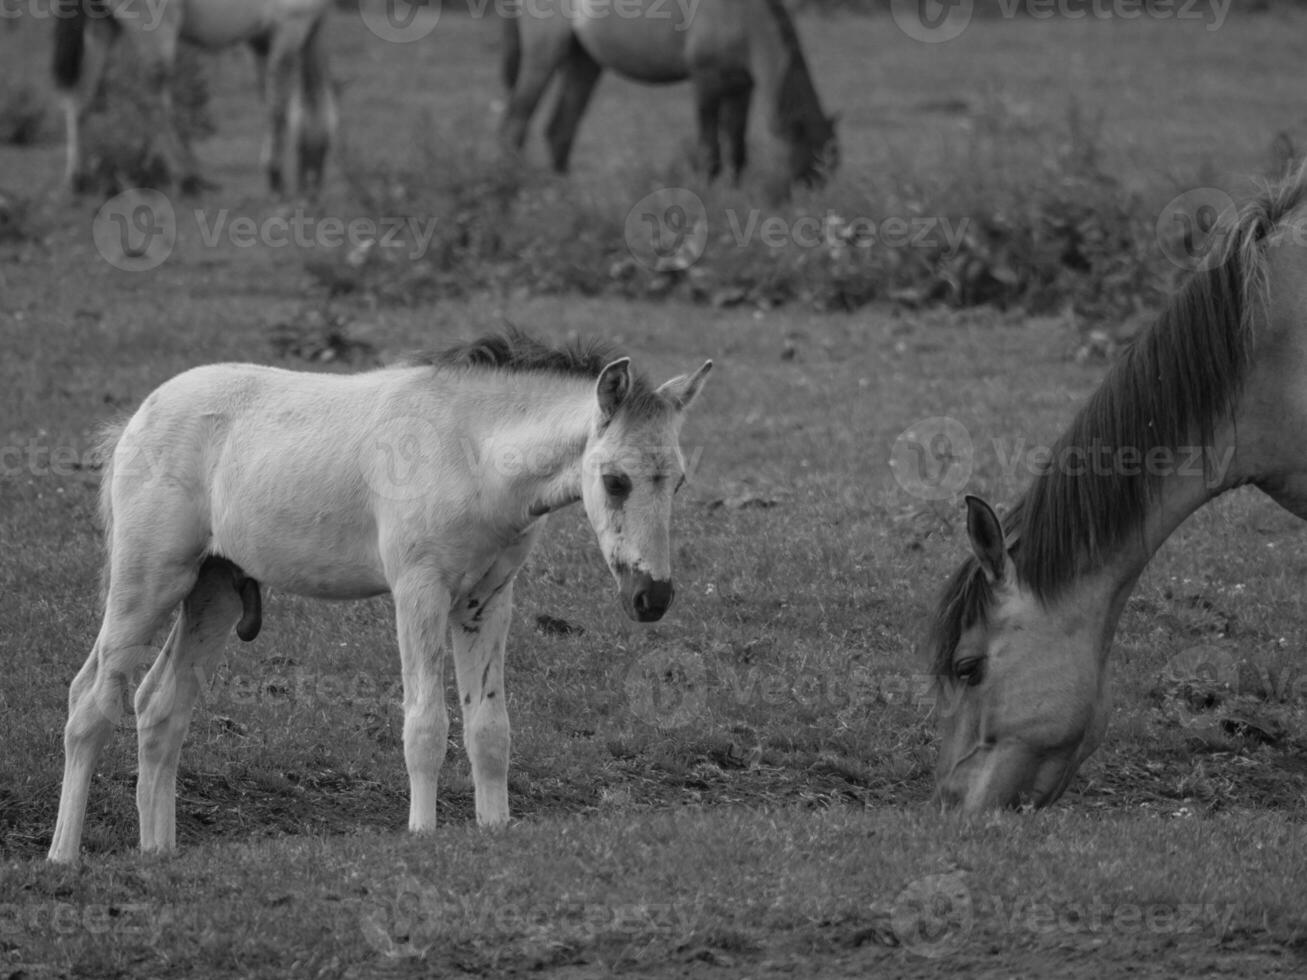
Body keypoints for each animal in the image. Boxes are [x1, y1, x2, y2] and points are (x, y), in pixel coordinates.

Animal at [46, 334, 711, 862]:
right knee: (89, 700)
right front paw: (423, 835)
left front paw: (494, 830)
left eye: (678, 481)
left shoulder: (488, 601)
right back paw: (63, 857)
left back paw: (157, 853)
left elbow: (489, 728)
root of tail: (138, 417)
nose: (653, 597)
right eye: (615, 481)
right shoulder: (419, 591)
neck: (473, 452)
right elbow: (425, 725)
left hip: (214, 594)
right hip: (148, 583)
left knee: (160, 706)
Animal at [50, 0, 337, 194]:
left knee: (81, 97)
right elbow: (279, 106)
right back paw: (188, 179)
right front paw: (277, 176)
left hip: (102, 27)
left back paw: (78, 181)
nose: (314, 177)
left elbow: (308, 98)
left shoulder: (298, 31)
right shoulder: (291, 25)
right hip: (154, 29)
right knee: (153, 102)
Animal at [499, 0, 836, 190]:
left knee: (560, 130)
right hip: (544, 54)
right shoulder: (705, 81)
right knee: (516, 122)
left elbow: (738, 148)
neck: (743, 17)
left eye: (832, 164)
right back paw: (512, 184)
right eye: (810, 162)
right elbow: (709, 150)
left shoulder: (742, 87)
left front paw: (736, 193)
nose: (813, 205)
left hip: (584, 62)